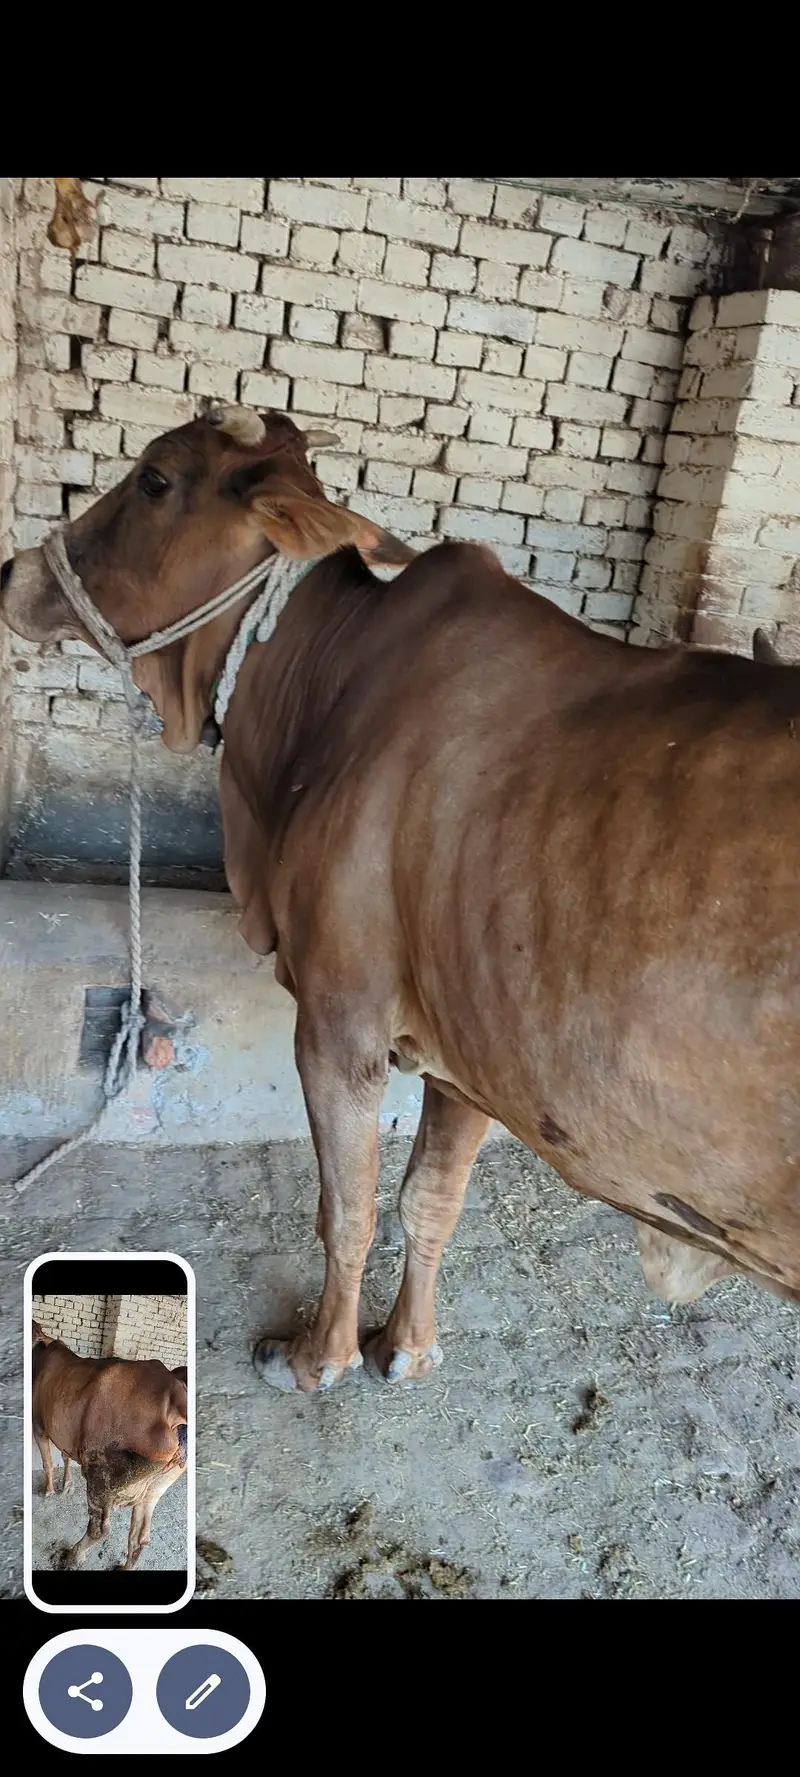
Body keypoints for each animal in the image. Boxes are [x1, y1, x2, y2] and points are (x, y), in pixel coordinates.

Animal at [4, 405, 800, 1402]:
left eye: (154, 478)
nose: (15, 572)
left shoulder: (339, 1021)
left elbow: (346, 1207)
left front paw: (317, 1356)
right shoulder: (474, 1055)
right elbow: (430, 1199)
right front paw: (408, 1347)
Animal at [31, 1319, 187, 1569]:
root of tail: (175, 1395)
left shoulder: (38, 1424)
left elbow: (47, 1462)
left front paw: (49, 1491)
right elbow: (64, 1456)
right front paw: (67, 1486)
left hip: (101, 1477)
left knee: (99, 1529)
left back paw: (72, 1557)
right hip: (156, 1487)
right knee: (140, 1537)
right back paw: (125, 1566)